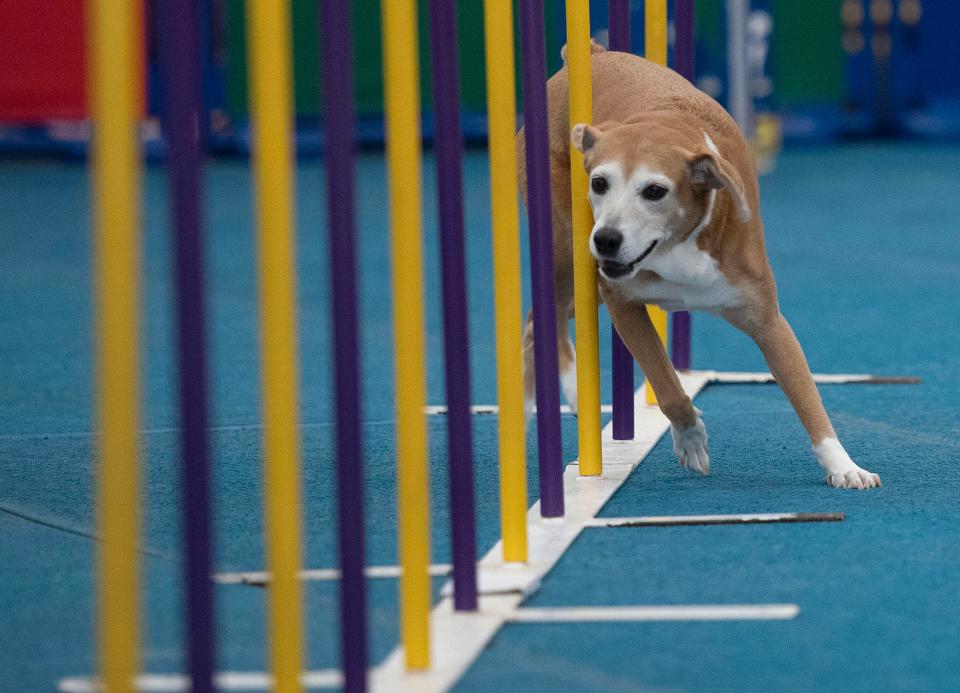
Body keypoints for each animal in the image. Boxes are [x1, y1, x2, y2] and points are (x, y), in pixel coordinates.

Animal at [520, 44, 880, 486]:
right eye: (599, 183)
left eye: (655, 191)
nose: (606, 239)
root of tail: (594, 51)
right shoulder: (623, 304)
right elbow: (666, 382)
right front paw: (690, 435)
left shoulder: (768, 320)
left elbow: (807, 397)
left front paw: (845, 467)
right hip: (565, 251)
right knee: (548, 317)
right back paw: (562, 394)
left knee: (539, 321)